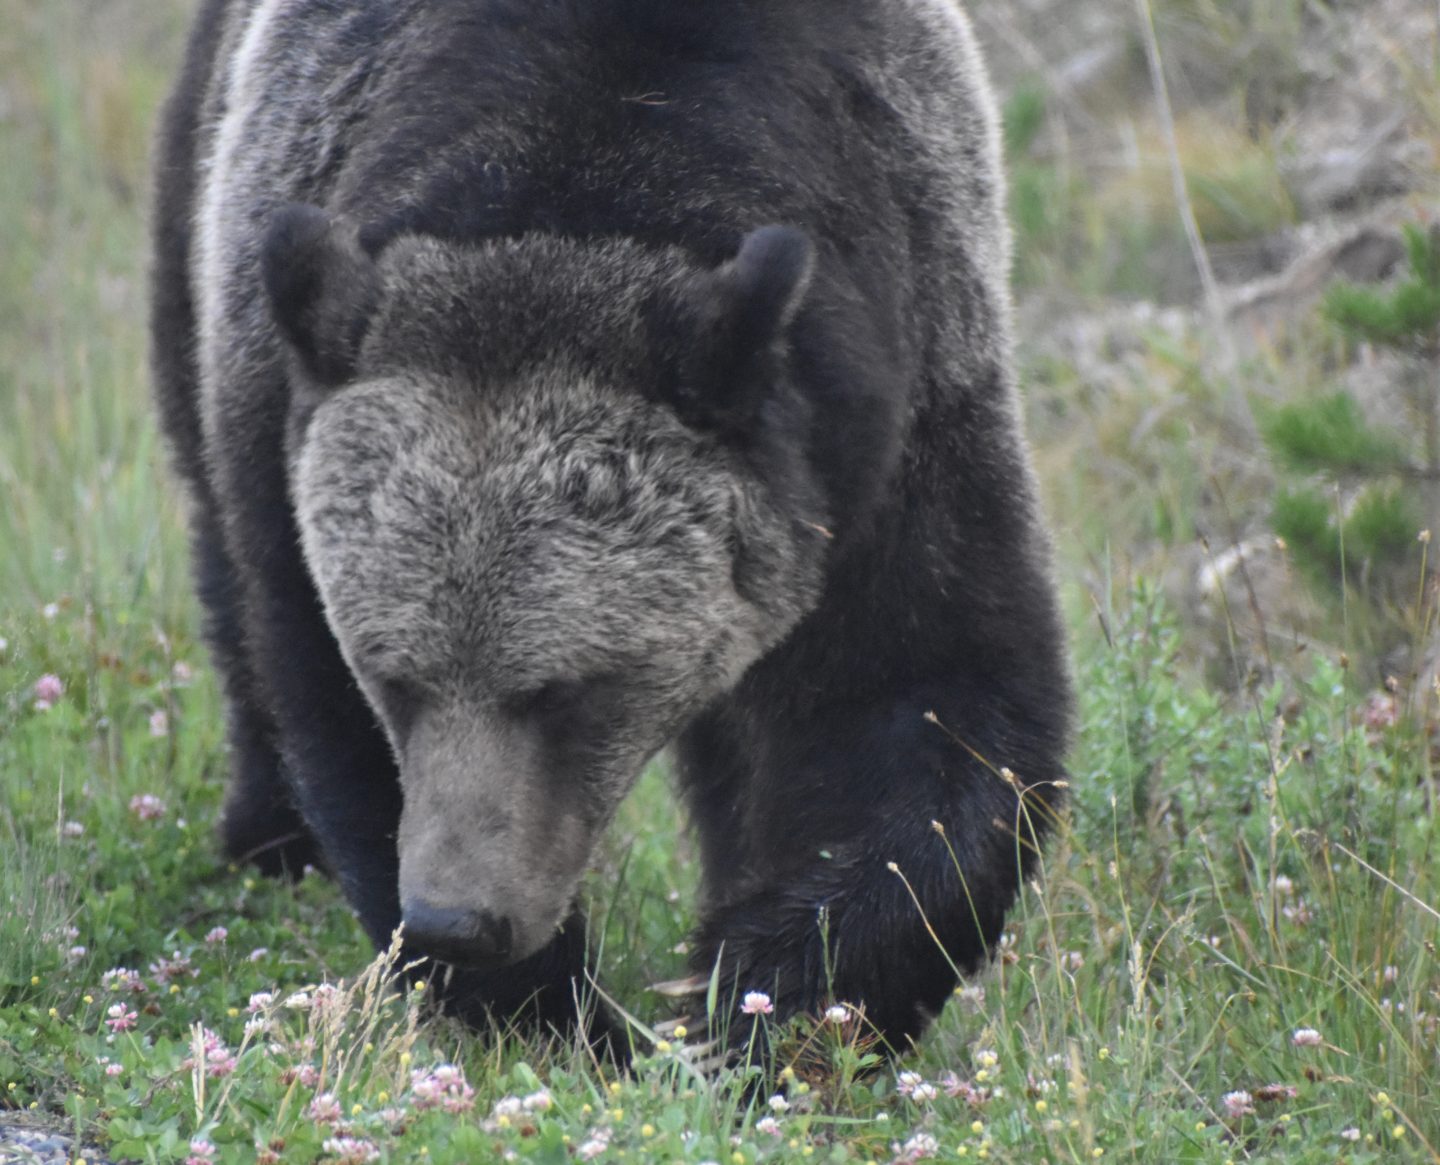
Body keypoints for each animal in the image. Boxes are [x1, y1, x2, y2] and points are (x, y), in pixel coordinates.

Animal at [150, 0, 1073, 1057]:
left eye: (568, 691)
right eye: (394, 677)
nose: (456, 919)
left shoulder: (903, 400)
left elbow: (928, 707)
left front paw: (763, 991)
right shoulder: (279, 406)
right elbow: (317, 694)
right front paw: (555, 1007)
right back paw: (269, 834)